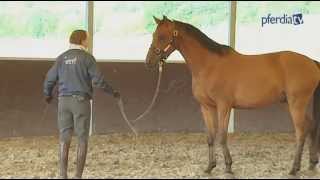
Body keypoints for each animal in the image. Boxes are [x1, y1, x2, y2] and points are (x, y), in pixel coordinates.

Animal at [146, 15, 320, 176]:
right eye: (154, 34)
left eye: (162, 36)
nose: (148, 61)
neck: (209, 65)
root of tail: (312, 62)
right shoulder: (206, 107)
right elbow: (210, 137)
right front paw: (210, 167)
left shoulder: (224, 106)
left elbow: (222, 135)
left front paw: (228, 167)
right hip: (290, 103)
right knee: (311, 125)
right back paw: (312, 163)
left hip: (297, 103)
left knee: (301, 132)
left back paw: (294, 168)